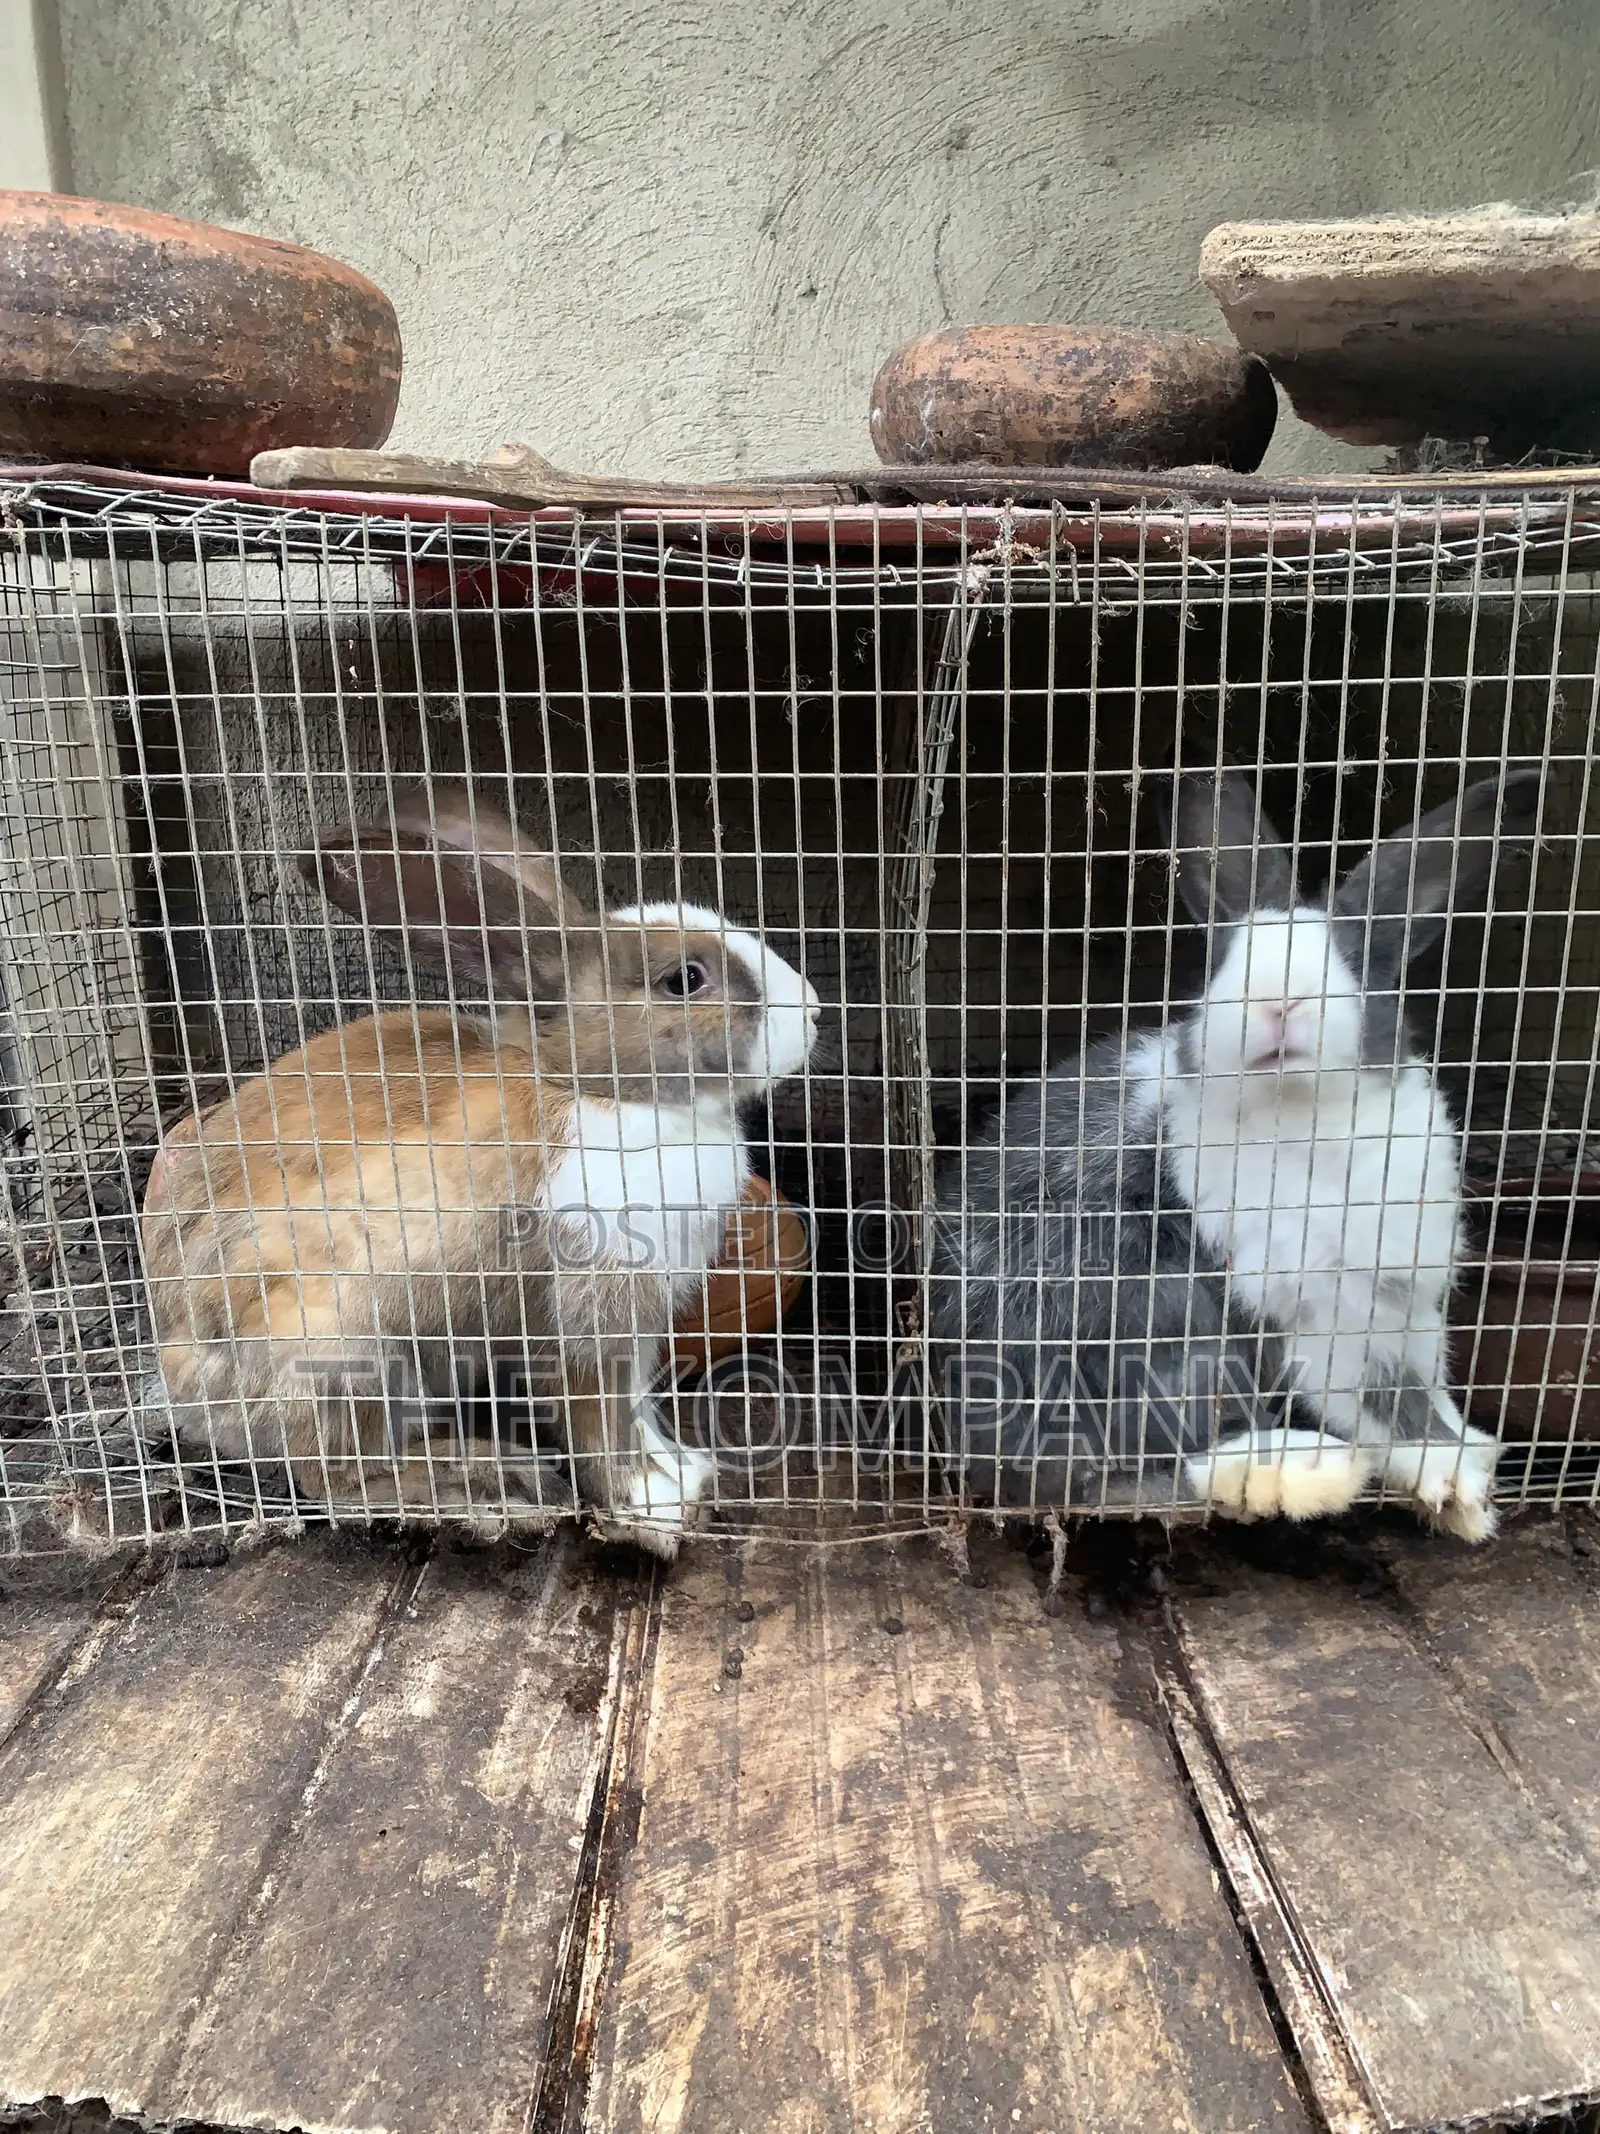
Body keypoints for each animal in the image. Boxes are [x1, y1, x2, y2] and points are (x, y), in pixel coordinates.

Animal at [139, 791, 820, 1558]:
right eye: (686, 980)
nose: (813, 1009)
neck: (595, 1090)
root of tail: (184, 1385)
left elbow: (640, 1409)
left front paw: (686, 1474)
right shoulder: (589, 1313)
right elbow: (602, 1418)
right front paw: (652, 1507)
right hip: (342, 1354)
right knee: (340, 1479)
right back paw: (491, 1485)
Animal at [931, 765, 1542, 1541]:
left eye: (1355, 962)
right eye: (1225, 961)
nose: (1278, 1000)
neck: (1303, 1116)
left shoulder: (1408, 1308)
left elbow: (1423, 1395)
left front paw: (1468, 1469)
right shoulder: (1323, 1310)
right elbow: (1386, 1403)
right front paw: (1456, 1490)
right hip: (1152, 1314)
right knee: (1119, 1474)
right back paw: (1300, 1471)